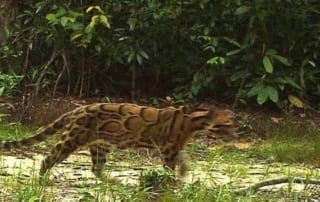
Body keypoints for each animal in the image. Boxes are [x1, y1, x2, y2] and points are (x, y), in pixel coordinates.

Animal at [0, 104, 235, 178]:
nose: (235, 135)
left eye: (232, 123)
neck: (193, 121)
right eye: (225, 125)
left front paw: (183, 172)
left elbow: (183, 160)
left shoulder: (175, 148)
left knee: (96, 169)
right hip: (72, 139)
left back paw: (112, 181)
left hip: (99, 145)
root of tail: (77, 109)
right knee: (47, 159)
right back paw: (41, 180)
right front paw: (172, 181)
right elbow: (170, 166)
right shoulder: (168, 148)